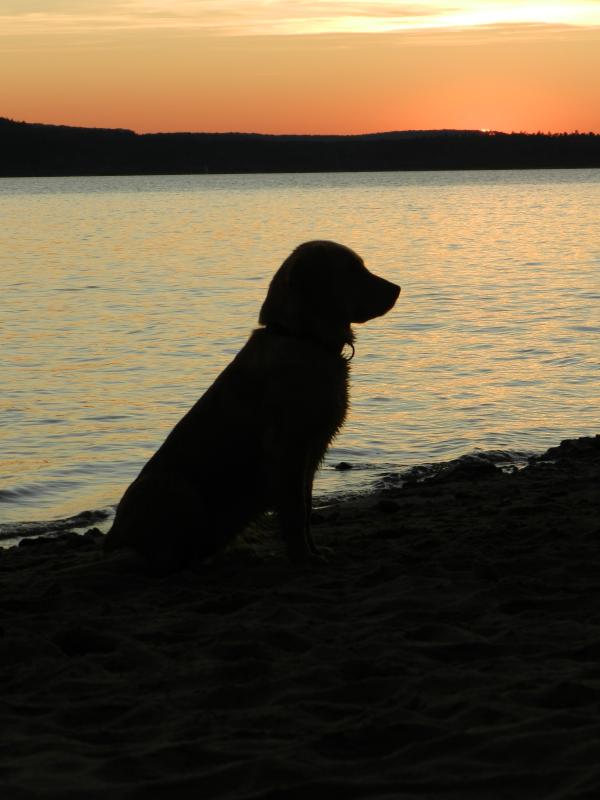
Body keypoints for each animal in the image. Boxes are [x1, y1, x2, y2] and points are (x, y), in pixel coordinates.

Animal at [103, 240, 400, 573]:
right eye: (352, 269)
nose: (398, 289)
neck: (303, 338)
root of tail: (113, 539)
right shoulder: (290, 449)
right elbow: (296, 513)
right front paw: (303, 558)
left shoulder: (310, 453)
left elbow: (306, 509)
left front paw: (312, 551)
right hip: (178, 491)